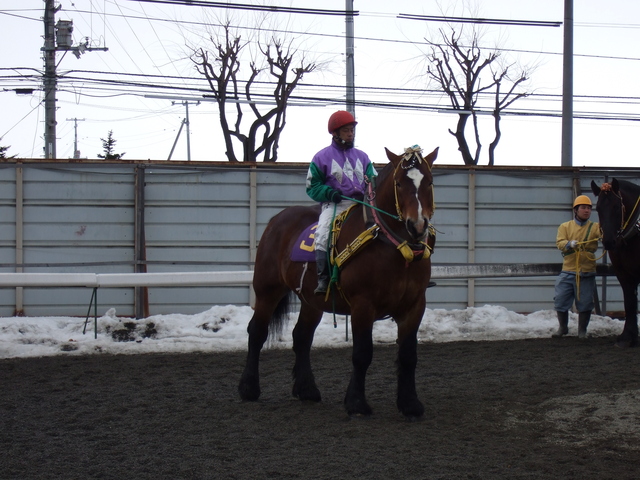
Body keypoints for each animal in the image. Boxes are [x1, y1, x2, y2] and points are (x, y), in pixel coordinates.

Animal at [238, 146, 438, 418]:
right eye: (399, 183)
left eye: (428, 181)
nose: (417, 226)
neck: (392, 246)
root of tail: (277, 219)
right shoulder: (363, 304)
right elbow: (362, 353)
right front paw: (356, 403)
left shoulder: (415, 305)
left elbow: (408, 355)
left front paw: (410, 404)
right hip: (268, 290)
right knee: (257, 331)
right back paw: (249, 388)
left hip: (311, 300)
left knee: (301, 337)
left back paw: (307, 389)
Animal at [591, 178, 640, 348]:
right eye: (598, 208)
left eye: (616, 207)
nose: (608, 242)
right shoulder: (623, 273)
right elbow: (630, 302)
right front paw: (628, 337)